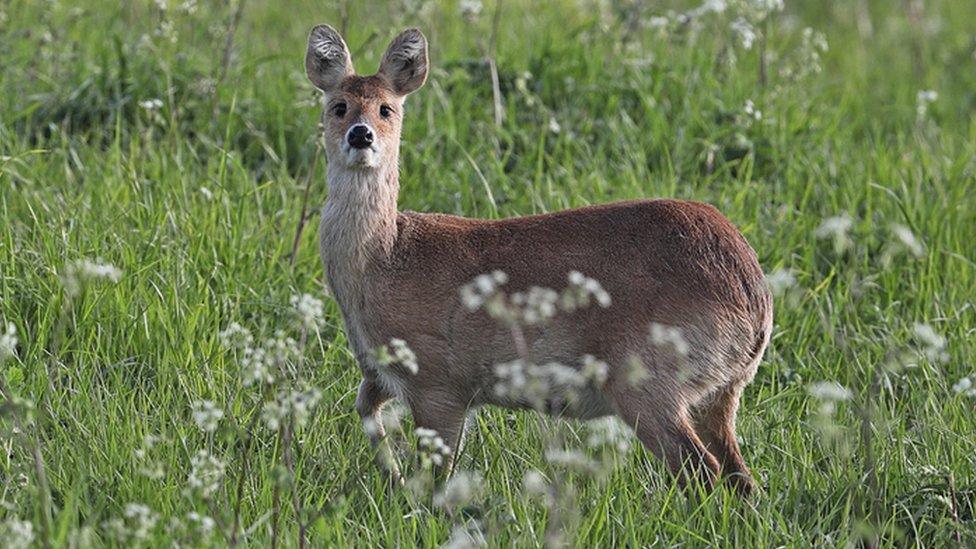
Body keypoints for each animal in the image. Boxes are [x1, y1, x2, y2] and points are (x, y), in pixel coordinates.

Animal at [304, 24, 772, 492]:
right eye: (338, 106)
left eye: (386, 109)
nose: (360, 134)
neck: (383, 259)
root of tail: (757, 302)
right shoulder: (378, 373)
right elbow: (364, 407)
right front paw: (393, 477)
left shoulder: (438, 380)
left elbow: (439, 472)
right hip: (719, 392)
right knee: (740, 476)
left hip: (648, 377)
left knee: (701, 469)